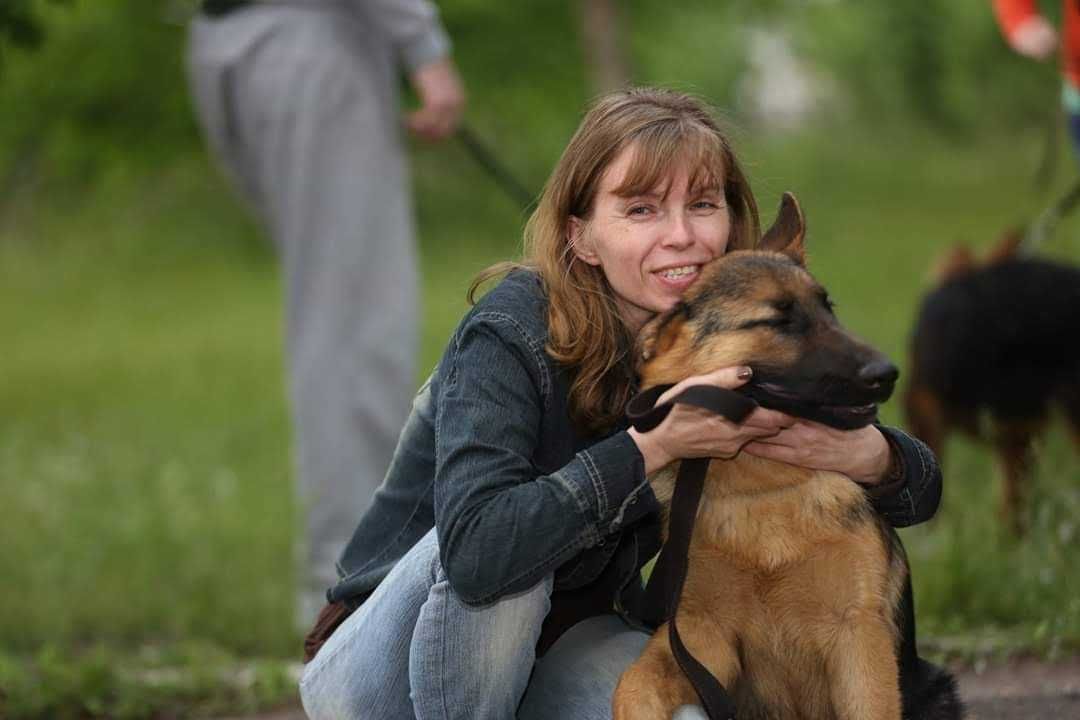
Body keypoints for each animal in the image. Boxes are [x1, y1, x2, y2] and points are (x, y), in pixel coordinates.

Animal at [613, 194, 959, 716]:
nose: (888, 374)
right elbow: (631, 684)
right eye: (778, 321)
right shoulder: (699, 635)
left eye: (829, 309)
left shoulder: (858, 641)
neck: (768, 488)